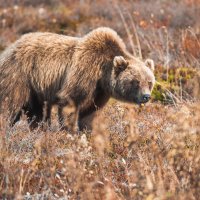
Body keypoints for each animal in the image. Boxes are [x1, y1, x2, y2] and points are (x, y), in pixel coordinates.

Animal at [0, 27, 155, 131]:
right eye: (136, 82)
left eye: (149, 82)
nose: (146, 96)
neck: (102, 73)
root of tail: (9, 48)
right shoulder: (84, 71)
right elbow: (70, 101)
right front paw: (69, 131)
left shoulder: (99, 92)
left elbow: (90, 112)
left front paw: (87, 131)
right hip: (19, 76)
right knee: (10, 105)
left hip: (35, 89)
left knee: (37, 112)